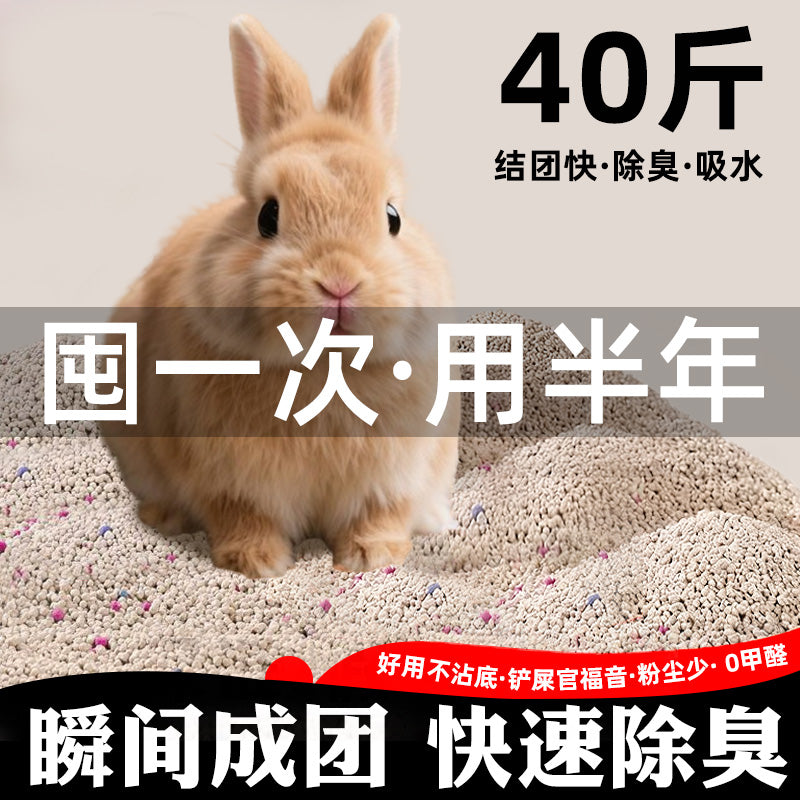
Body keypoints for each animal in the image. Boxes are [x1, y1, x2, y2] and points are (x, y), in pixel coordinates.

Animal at [99, 14, 459, 578]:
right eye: (268, 216)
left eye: (393, 217)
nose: (339, 280)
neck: (325, 371)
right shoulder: (227, 479)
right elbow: (243, 515)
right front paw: (257, 562)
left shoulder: (392, 475)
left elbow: (380, 513)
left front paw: (371, 556)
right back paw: (164, 517)